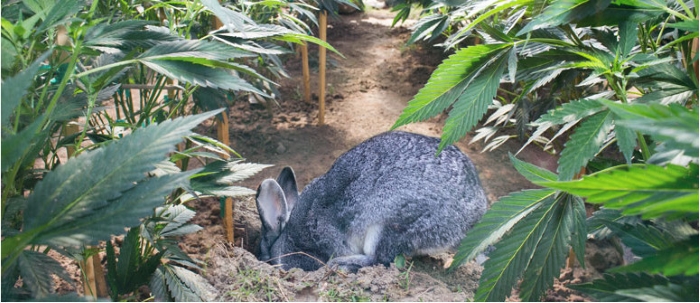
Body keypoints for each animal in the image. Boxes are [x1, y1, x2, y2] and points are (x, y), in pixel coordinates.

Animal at [254, 132, 490, 272]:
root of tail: (472, 219)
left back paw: (342, 264)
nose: (263, 260)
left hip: (389, 222)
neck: (286, 237)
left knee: (380, 259)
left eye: (264, 253)